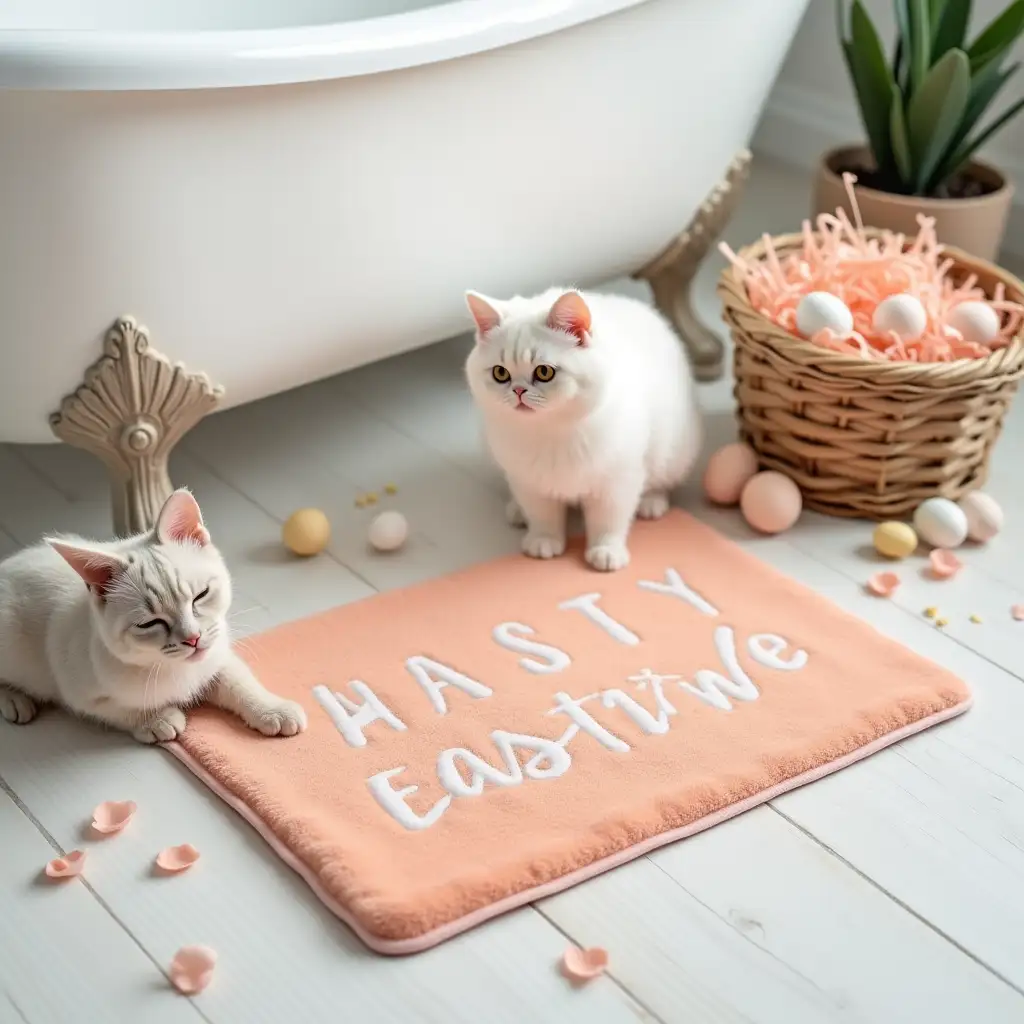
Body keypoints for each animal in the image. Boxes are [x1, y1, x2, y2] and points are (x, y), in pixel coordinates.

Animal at [0, 487, 307, 745]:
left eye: (201, 595)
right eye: (150, 623)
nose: (193, 638)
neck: (172, 667)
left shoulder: (216, 654)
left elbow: (237, 680)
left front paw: (271, 708)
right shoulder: (79, 693)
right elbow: (121, 708)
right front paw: (157, 719)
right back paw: (14, 699)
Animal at [466, 288, 700, 573]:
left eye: (544, 372)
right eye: (500, 373)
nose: (518, 390)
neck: (551, 432)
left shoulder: (617, 479)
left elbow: (609, 519)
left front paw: (607, 551)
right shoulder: (527, 478)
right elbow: (541, 512)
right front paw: (543, 539)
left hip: (674, 449)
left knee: (661, 477)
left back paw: (651, 501)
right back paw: (517, 510)